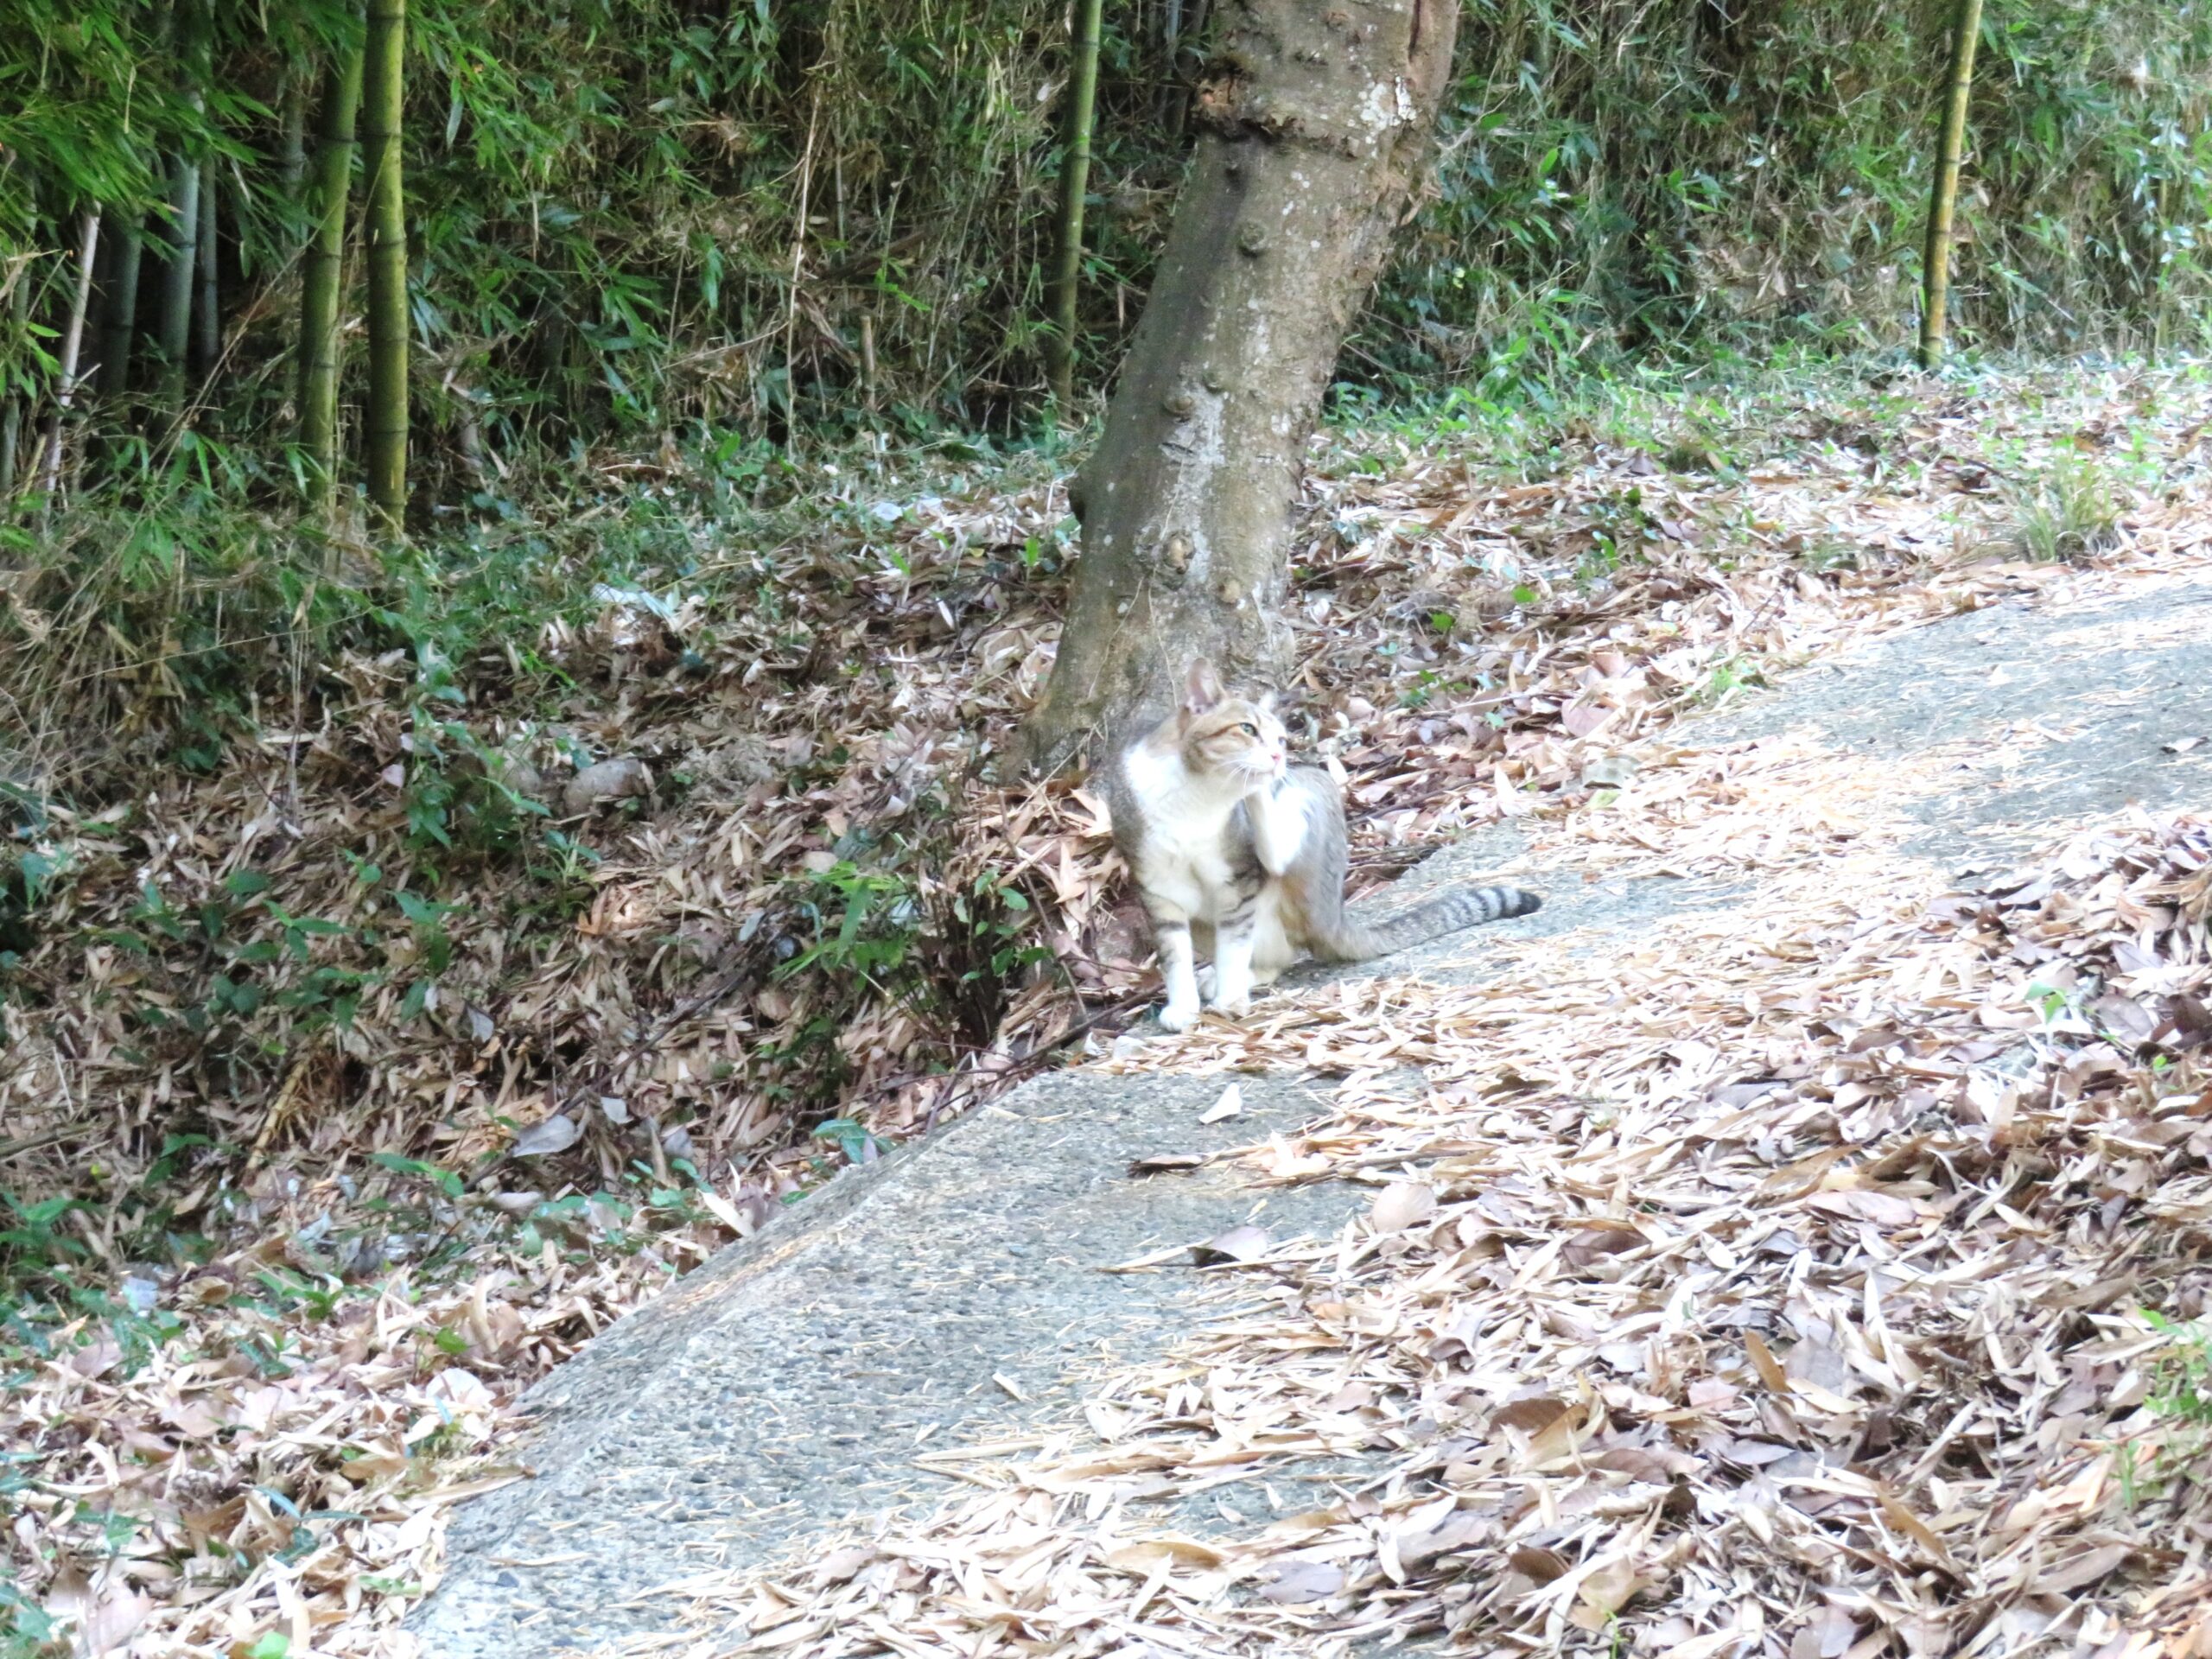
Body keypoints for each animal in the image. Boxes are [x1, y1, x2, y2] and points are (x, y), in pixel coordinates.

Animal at [1101, 658, 1539, 1026]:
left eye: (1280, 738)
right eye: (1247, 730)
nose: (1277, 756)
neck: (1199, 793)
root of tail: (1334, 917)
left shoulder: (1238, 881)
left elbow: (1235, 947)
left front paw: (1230, 998)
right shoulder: (1158, 887)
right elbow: (1174, 956)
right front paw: (1183, 1007)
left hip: (1312, 802)